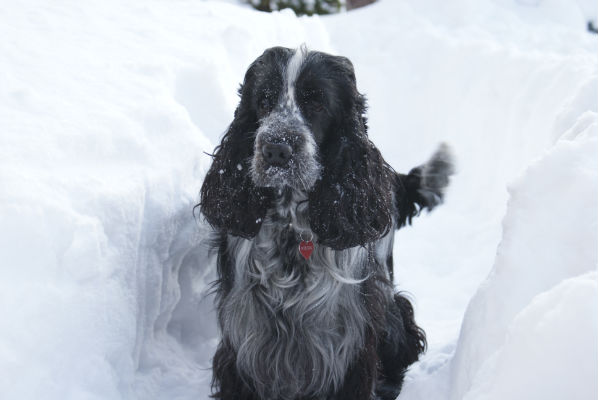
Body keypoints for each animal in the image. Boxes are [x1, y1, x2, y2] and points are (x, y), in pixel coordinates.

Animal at [199, 46, 458, 400]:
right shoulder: (243, 340)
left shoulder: (350, 344)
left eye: (317, 103)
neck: (291, 231)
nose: (276, 150)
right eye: (264, 100)